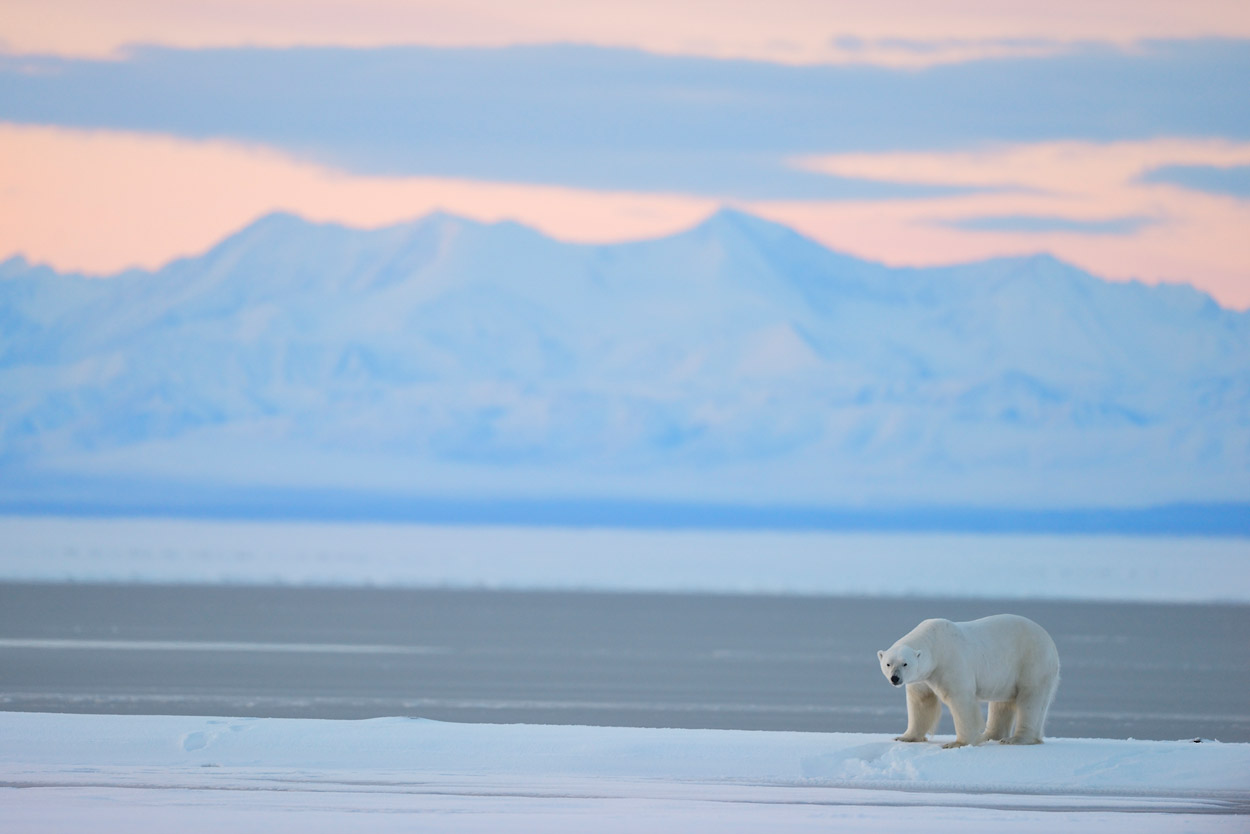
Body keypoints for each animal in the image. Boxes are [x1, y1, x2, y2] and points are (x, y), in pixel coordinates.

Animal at [875, 612, 1060, 750]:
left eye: (905, 663)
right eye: (888, 663)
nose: (895, 678)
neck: (936, 644)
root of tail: (1050, 641)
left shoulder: (950, 663)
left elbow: (960, 700)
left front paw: (957, 743)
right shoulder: (922, 677)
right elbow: (921, 702)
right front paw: (905, 737)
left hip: (1033, 662)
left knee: (1031, 699)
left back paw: (1016, 739)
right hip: (1008, 675)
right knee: (1002, 703)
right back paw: (989, 735)